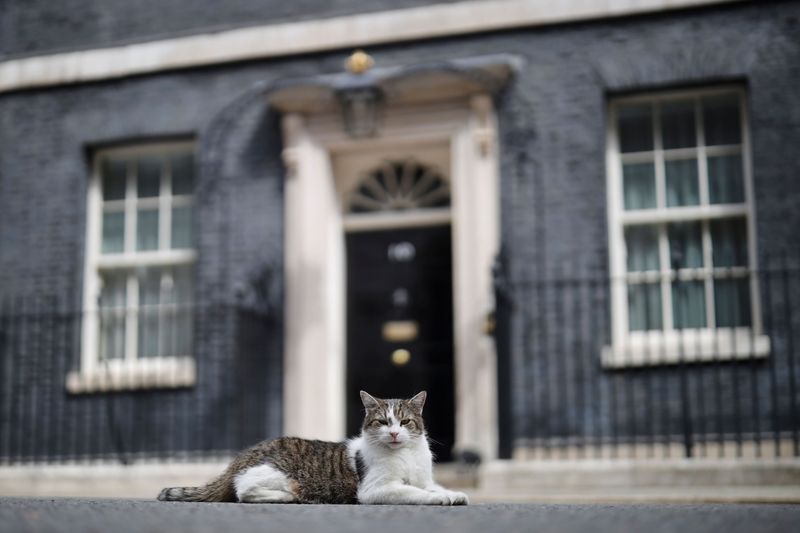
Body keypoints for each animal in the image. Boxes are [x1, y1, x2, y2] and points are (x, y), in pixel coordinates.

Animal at [158, 388, 468, 504]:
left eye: (404, 422)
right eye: (382, 422)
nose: (393, 433)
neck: (405, 455)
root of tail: (244, 455)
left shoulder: (425, 478)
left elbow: (432, 487)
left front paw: (453, 494)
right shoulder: (375, 489)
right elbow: (415, 492)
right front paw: (440, 499)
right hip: (278, 476)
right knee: (244, 491)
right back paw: (289, 497)